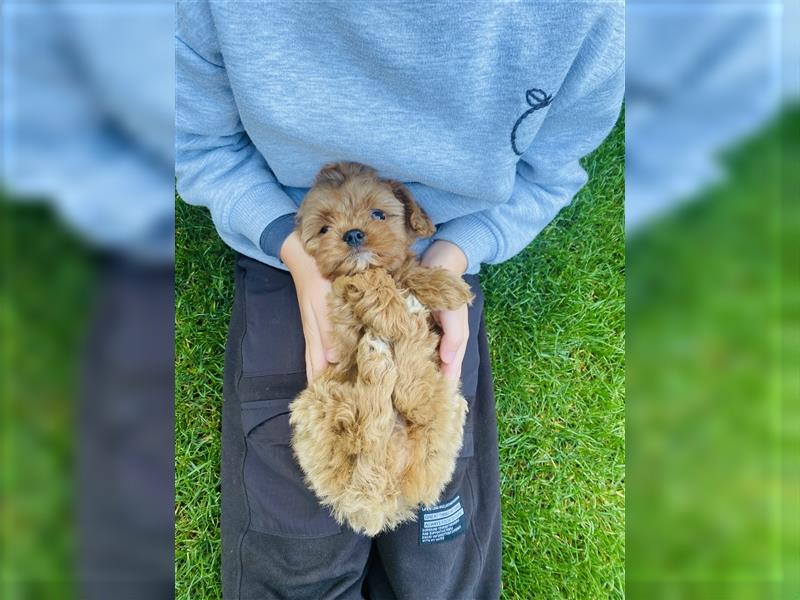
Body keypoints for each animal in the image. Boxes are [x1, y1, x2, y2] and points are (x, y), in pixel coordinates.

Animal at [290, 161, 472, 536]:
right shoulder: (341, 308)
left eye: (378, 214)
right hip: (317, 404)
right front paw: (391, 311)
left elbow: (409, 271)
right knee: (365, 431)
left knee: (413, 403)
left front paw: (443, 285)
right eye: (325, 228)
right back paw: (377, 359)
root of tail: (378, 501)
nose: (352, 235)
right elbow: (363, 278)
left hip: (443, 412)